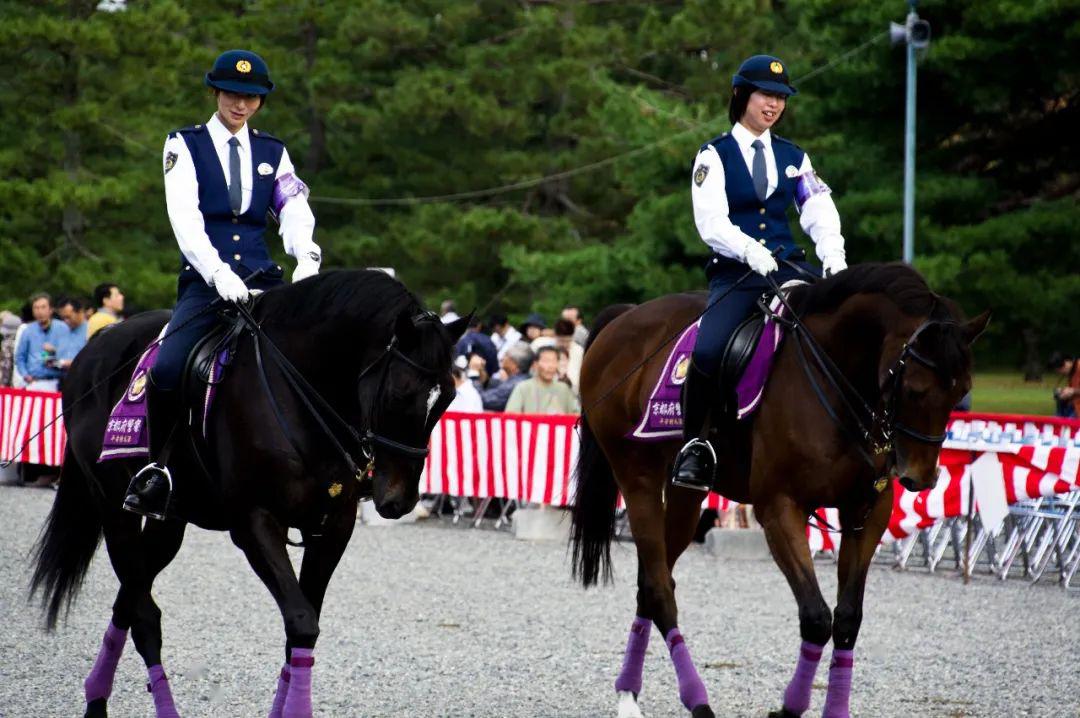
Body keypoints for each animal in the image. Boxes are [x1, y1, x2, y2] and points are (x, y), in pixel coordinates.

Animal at [29, 269, 466, 716]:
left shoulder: (333, 526)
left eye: (447, 398)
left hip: (170, 524)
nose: (400, 500)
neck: (298, 393)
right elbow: (302, 621)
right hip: (115, 512)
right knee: (144, 615)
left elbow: (302, 628)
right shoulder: (254, 523)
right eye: (400, 393)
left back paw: (97, 696)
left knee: (128, 604)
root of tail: (92, 351)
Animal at [574, 263, 989, 716]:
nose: (921, 477)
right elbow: (816, 616)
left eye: (962, 390)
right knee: (660, 590)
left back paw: (630, 694)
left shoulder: (866, 512)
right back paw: (693, 701)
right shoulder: (779, 509)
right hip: (639, 482)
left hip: (685, 495)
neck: (834, 380)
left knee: (650, 582)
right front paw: (790, 707)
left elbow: (847, 618)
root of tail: (625, 317)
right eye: (915, 388)